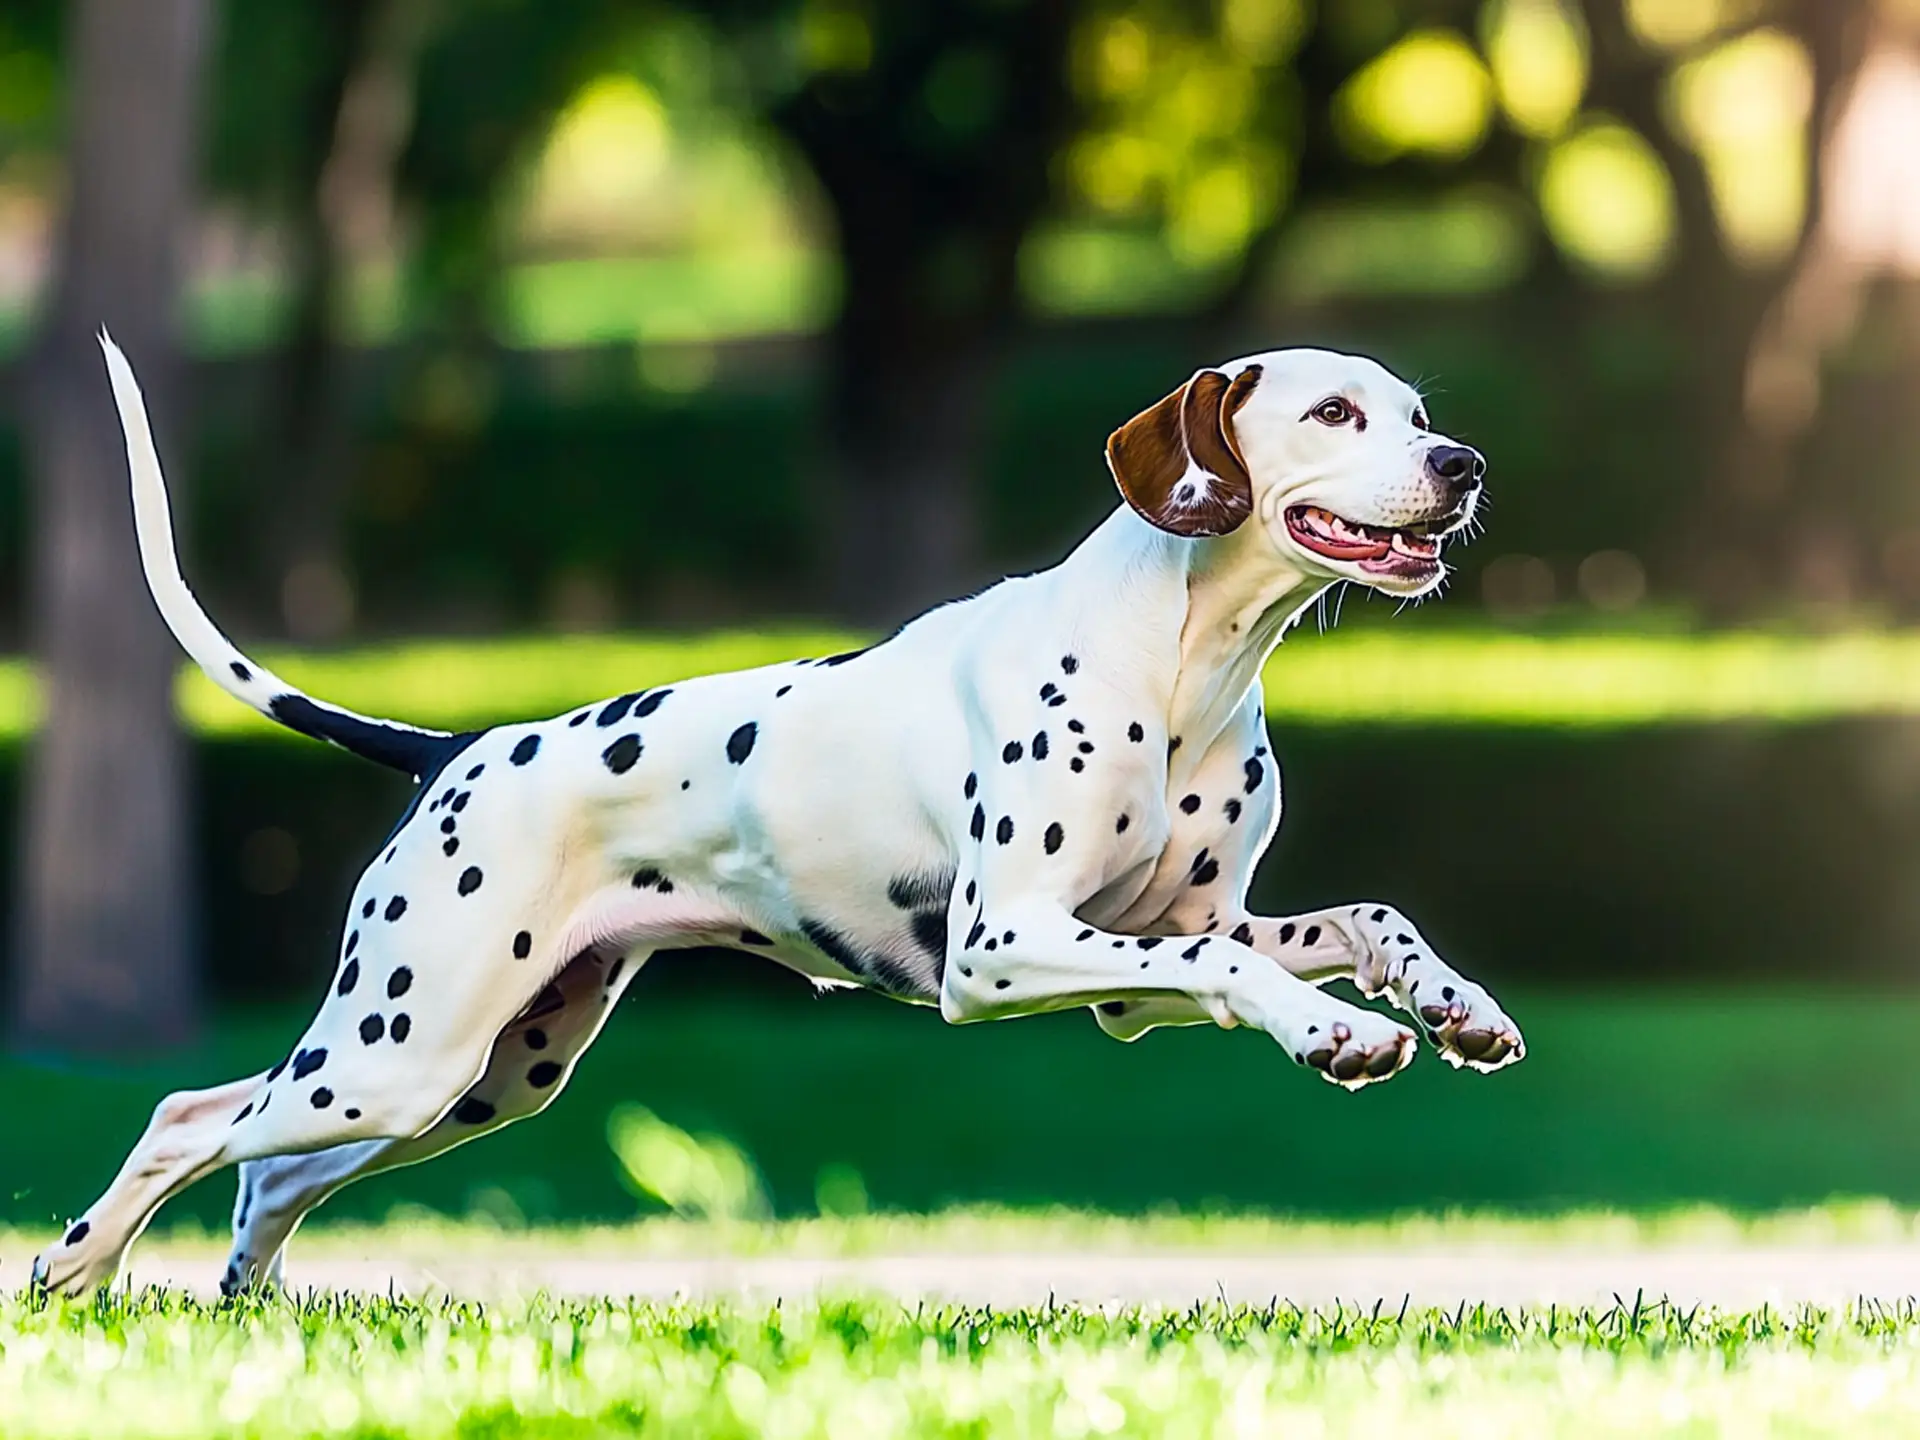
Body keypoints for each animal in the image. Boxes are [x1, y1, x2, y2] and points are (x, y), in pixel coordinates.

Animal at [30, 336, 1520, 1297]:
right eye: (1336, 415)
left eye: (1413, 411)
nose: (1465, 462)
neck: (1176, 666)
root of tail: (458, 746)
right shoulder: (1004, 950)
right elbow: (1233, 970)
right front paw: (1333, 1032)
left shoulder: (1141, 968)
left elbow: (1362, 919)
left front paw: (1449, 1005)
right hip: (393, 1050)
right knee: (186, 1120)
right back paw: (71, 1271)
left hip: (472, 1076)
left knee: (264, 1171)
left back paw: (241, 1308)